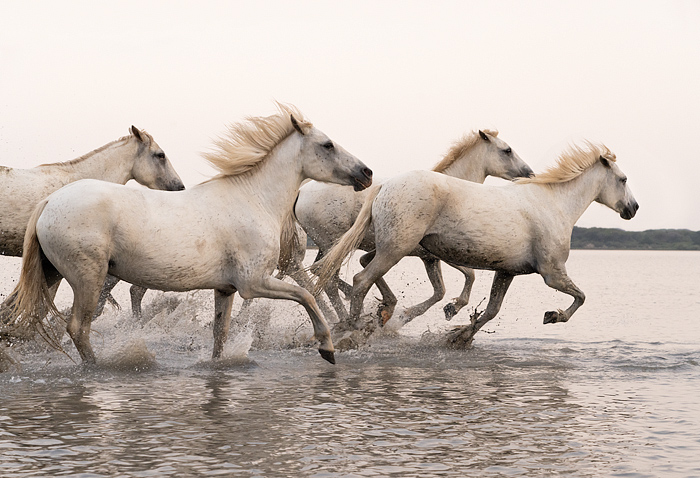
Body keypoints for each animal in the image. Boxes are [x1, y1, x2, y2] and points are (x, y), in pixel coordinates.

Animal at [294, 131, 532, 324]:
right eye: (507, 150)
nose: (528, 172)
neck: (450, 191)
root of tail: (300, 193)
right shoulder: (436, 254)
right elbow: (468, 276)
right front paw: (450, 308)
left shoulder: (427, 258)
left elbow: (440, 291)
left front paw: (392, 311)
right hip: (332, 243)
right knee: (327, 280)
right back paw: (344, 320)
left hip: (329, 246)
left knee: (319, 273)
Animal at [318, 140, 640, 346]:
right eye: (623, 179)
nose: (633, 208)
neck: (554, 205)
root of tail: (386, 184)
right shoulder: (552, 273)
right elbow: (581, 297)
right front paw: (553, 315)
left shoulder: (507, 272)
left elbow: (491, 311)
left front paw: (458, 336)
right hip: (396, 248)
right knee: (360, 280)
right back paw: (353, 332)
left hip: (393, 248)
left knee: (360, 273)